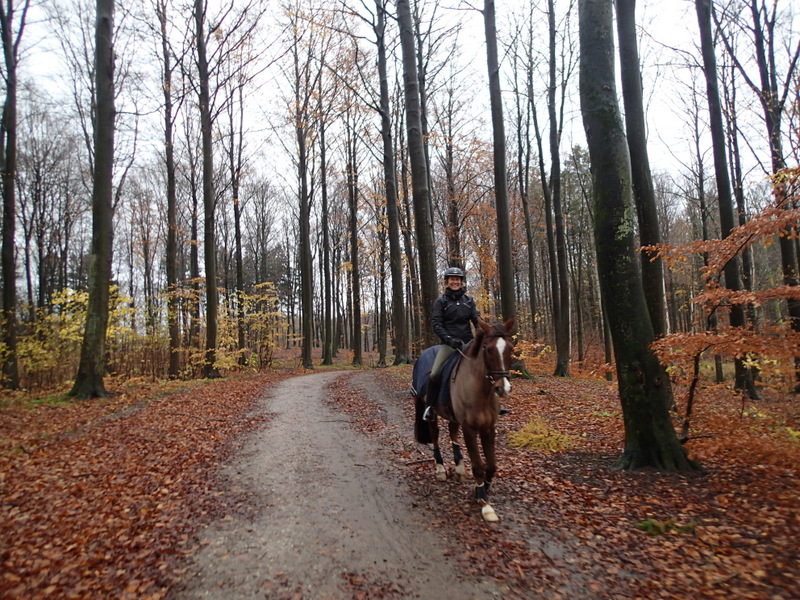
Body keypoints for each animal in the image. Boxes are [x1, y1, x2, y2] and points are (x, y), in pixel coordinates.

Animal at [412, 318, 520, 520]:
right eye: (488, 349)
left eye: (510, 348)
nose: (503, 389)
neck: (482, 391)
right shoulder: (469, 428)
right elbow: (478, 466)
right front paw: (485, 503)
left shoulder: (488, 428)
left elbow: (491, 466)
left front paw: (479, 490)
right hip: (431, 412)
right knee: (435, 436)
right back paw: (440, 469)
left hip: (453, 416)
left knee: (452, 431)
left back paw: (460, 468)